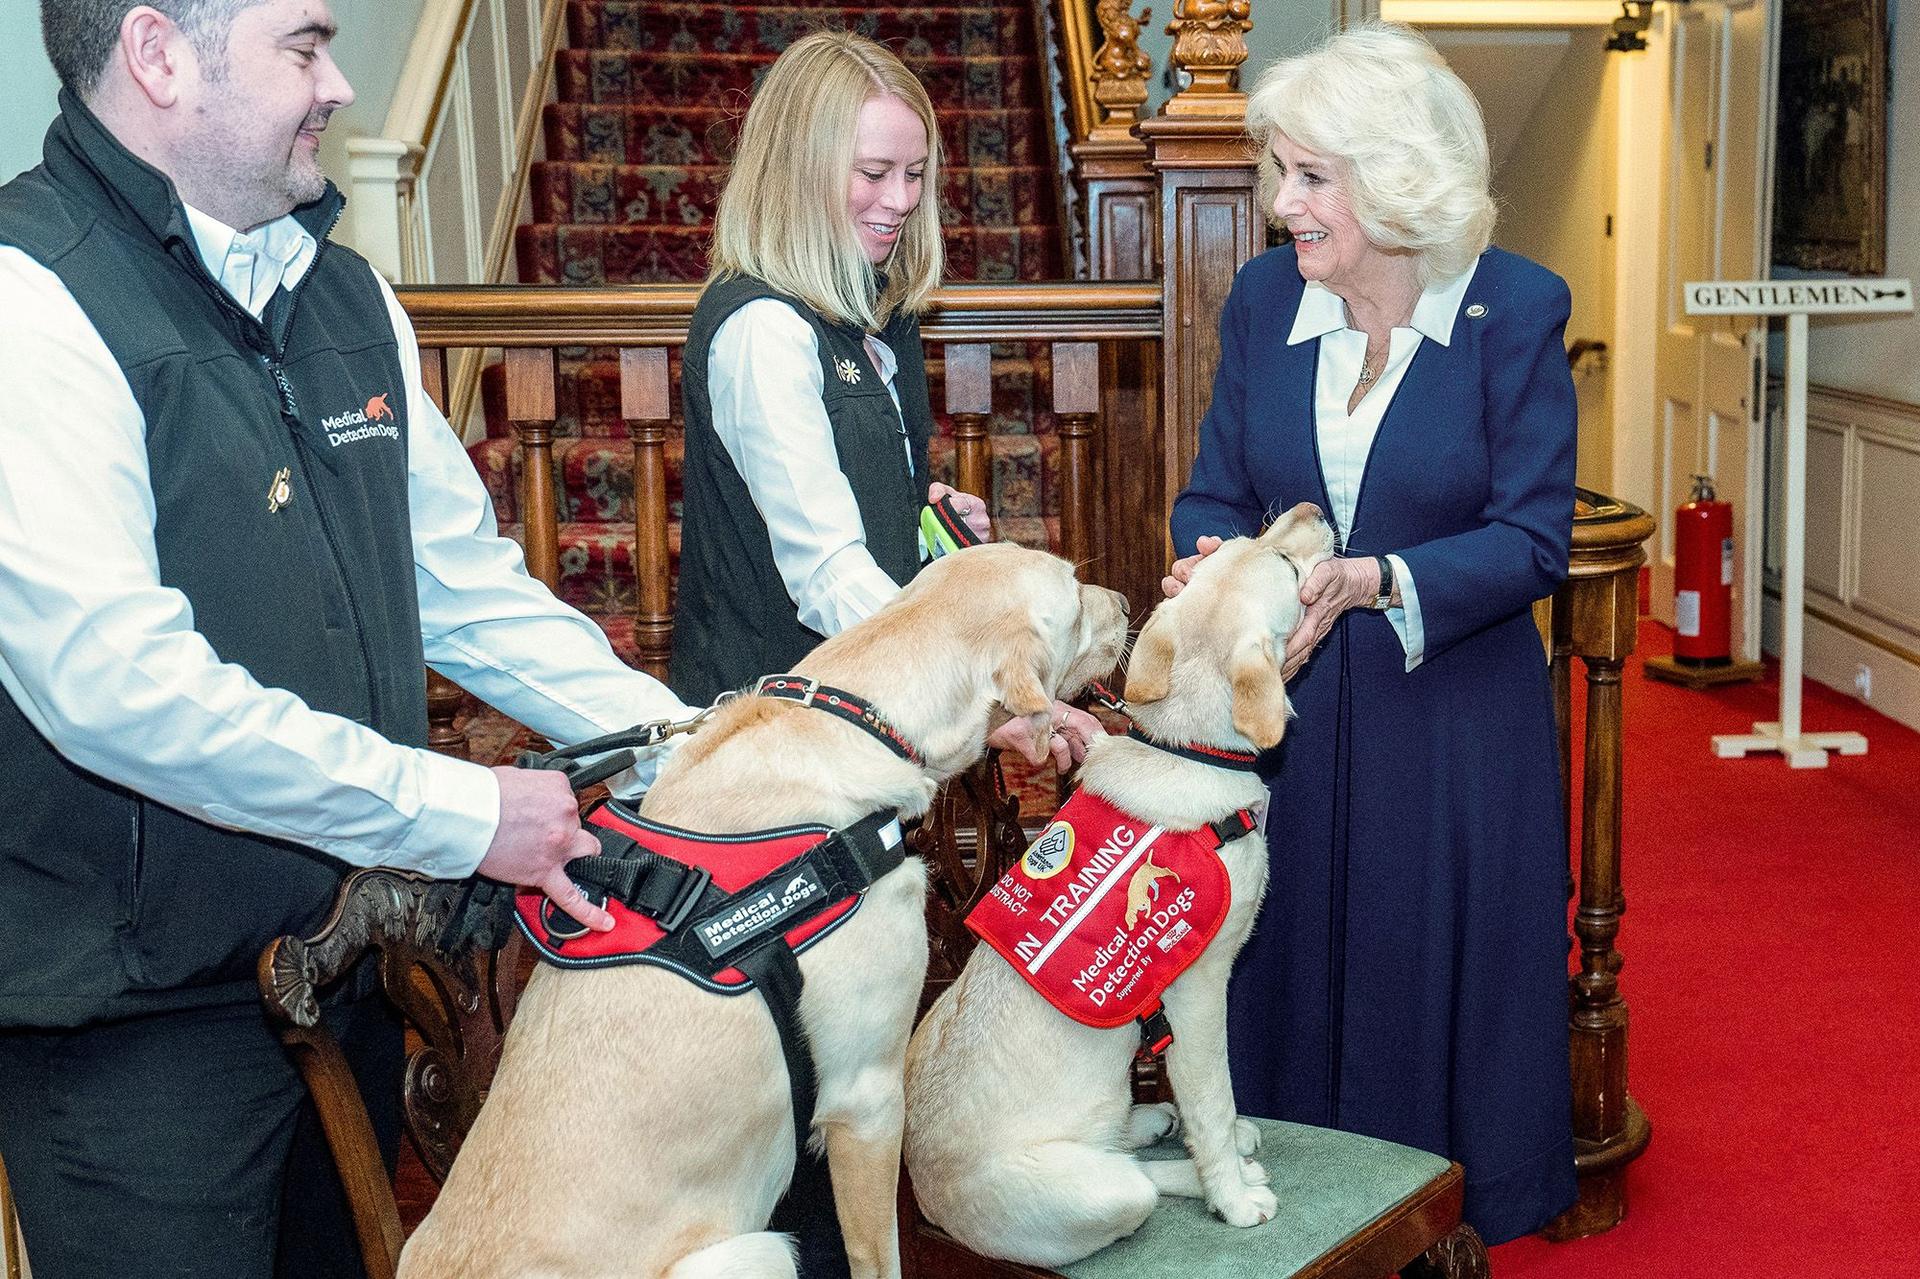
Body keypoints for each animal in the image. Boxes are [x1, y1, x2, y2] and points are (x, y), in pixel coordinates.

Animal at [401, 541, 1121, 1275]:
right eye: (1074, 592)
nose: (1124, 602)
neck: (854, 718)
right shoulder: (867, 1098)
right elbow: (881, 1254)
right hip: (756, 1250)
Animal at [902, 503, 1328, 1259]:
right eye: (1282, 563)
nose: (1307, 508)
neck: (1188, 750)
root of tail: (921, 1195)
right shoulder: (1196, 992)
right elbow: (1213, 1098)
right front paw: (1232, 1194)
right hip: (1102, 1194)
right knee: (1136, 1179)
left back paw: (1144, 1123)